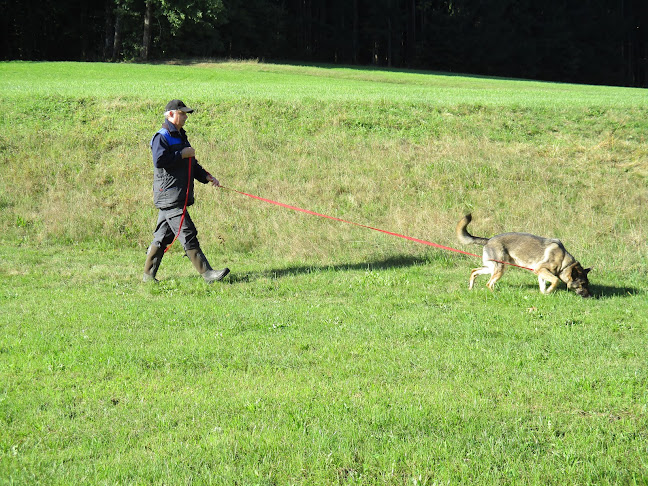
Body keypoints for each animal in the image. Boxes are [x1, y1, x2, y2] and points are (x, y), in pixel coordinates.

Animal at [456, 215, 592, 298]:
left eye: (587, 283)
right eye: (583, 284)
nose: (590, 296)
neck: (565, 263)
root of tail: (488, 240)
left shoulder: (540, 272)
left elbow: (543, 285)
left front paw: (544, 294)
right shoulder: (542, 270)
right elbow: (555, 280)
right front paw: (549, 291)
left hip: (493, 268)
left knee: (474, 271)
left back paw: (471, 288)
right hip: (499, 269)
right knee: (489, 283)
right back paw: (495, 294)